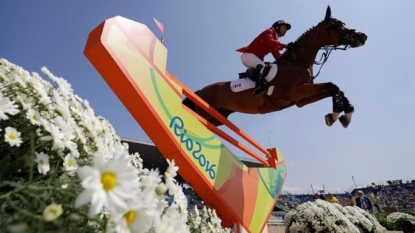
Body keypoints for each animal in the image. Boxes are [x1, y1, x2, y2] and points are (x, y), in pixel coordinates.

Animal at [182, 5, 368, 128]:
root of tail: (201, 90)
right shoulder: (296, 91)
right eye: (337, 25)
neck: (297, 62)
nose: (363, 36)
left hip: (217, 117)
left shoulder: (300, 99)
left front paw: (342, 115)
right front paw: (337, 113)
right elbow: (333, 85)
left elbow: (335, 88)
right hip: (205, 112)